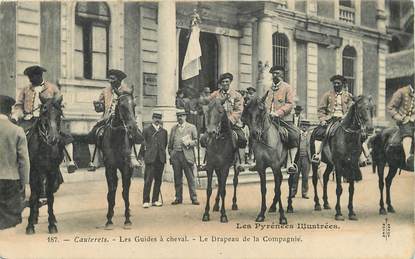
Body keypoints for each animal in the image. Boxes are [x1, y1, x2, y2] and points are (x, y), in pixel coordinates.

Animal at [25, 96, 65, 236]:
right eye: (44, 113)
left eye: (59, 114)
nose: (54, 139)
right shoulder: (33, 171)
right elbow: (33, 196)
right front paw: (30, 225)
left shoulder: (51, 171)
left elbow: (50, 196)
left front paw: (51, 224)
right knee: (36, 193)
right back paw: (34, 217)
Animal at [100, 87, 138, 230]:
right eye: (121, 105)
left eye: (134, 105)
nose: (133, 127)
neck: (117, 138)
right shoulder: (110, 168)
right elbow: (111, 192)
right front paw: (109, 220)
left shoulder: (126, 168)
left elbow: (125, 193)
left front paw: (127, 220)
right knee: (113, 190)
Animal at [240, 92, 292, 224]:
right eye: (248, 112)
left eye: (261, 111)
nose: (254, 134)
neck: (266, 139)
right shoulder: (261, 168)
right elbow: (263, 189)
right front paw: (261, 213)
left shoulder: (275, 167)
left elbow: (278, 189)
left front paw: (282, 216)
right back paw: (273, 206)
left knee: (291, 182)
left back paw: (289, 206)